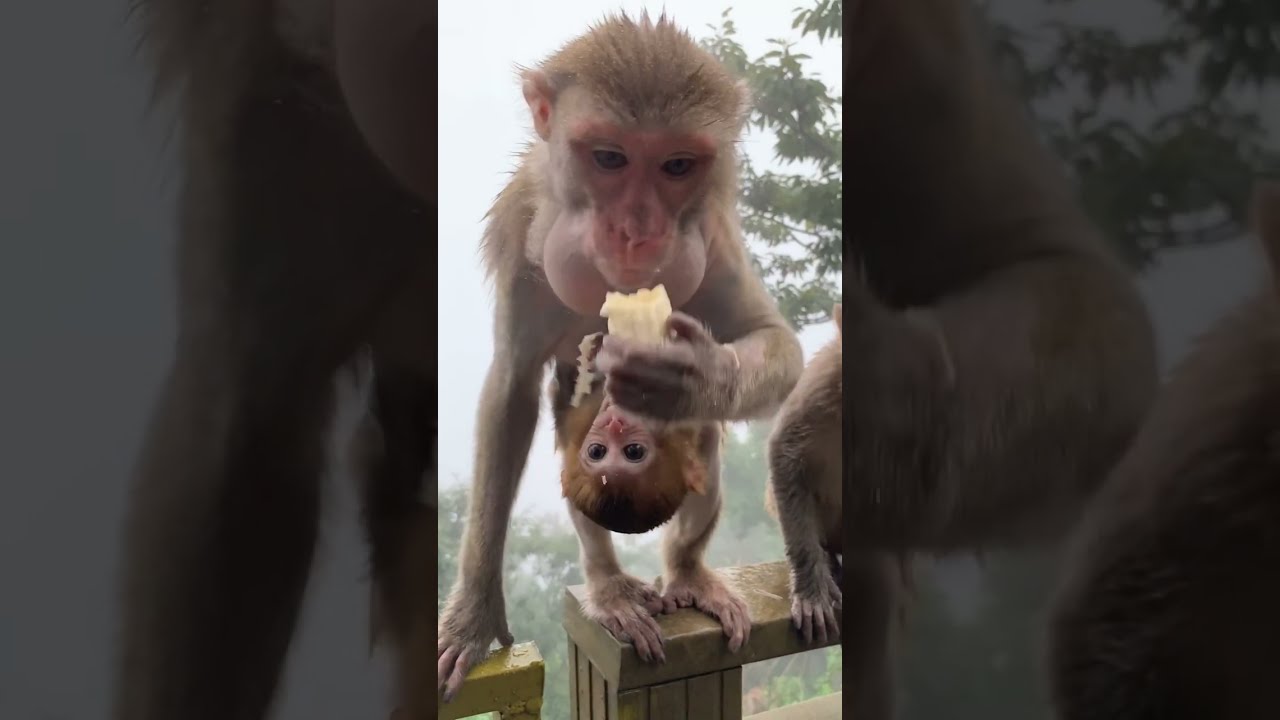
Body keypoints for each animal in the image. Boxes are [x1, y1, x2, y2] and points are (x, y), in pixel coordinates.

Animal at [436, 13, 805, 701]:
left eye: (677, 165)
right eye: (609, 158)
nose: (638, 231)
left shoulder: (712, 233)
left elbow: (773, 339)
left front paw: (697, 377)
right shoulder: (522, 239)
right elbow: (512, 392)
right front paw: (474, 612)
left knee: (704, 439)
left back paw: (686, 571)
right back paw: (608, 583)